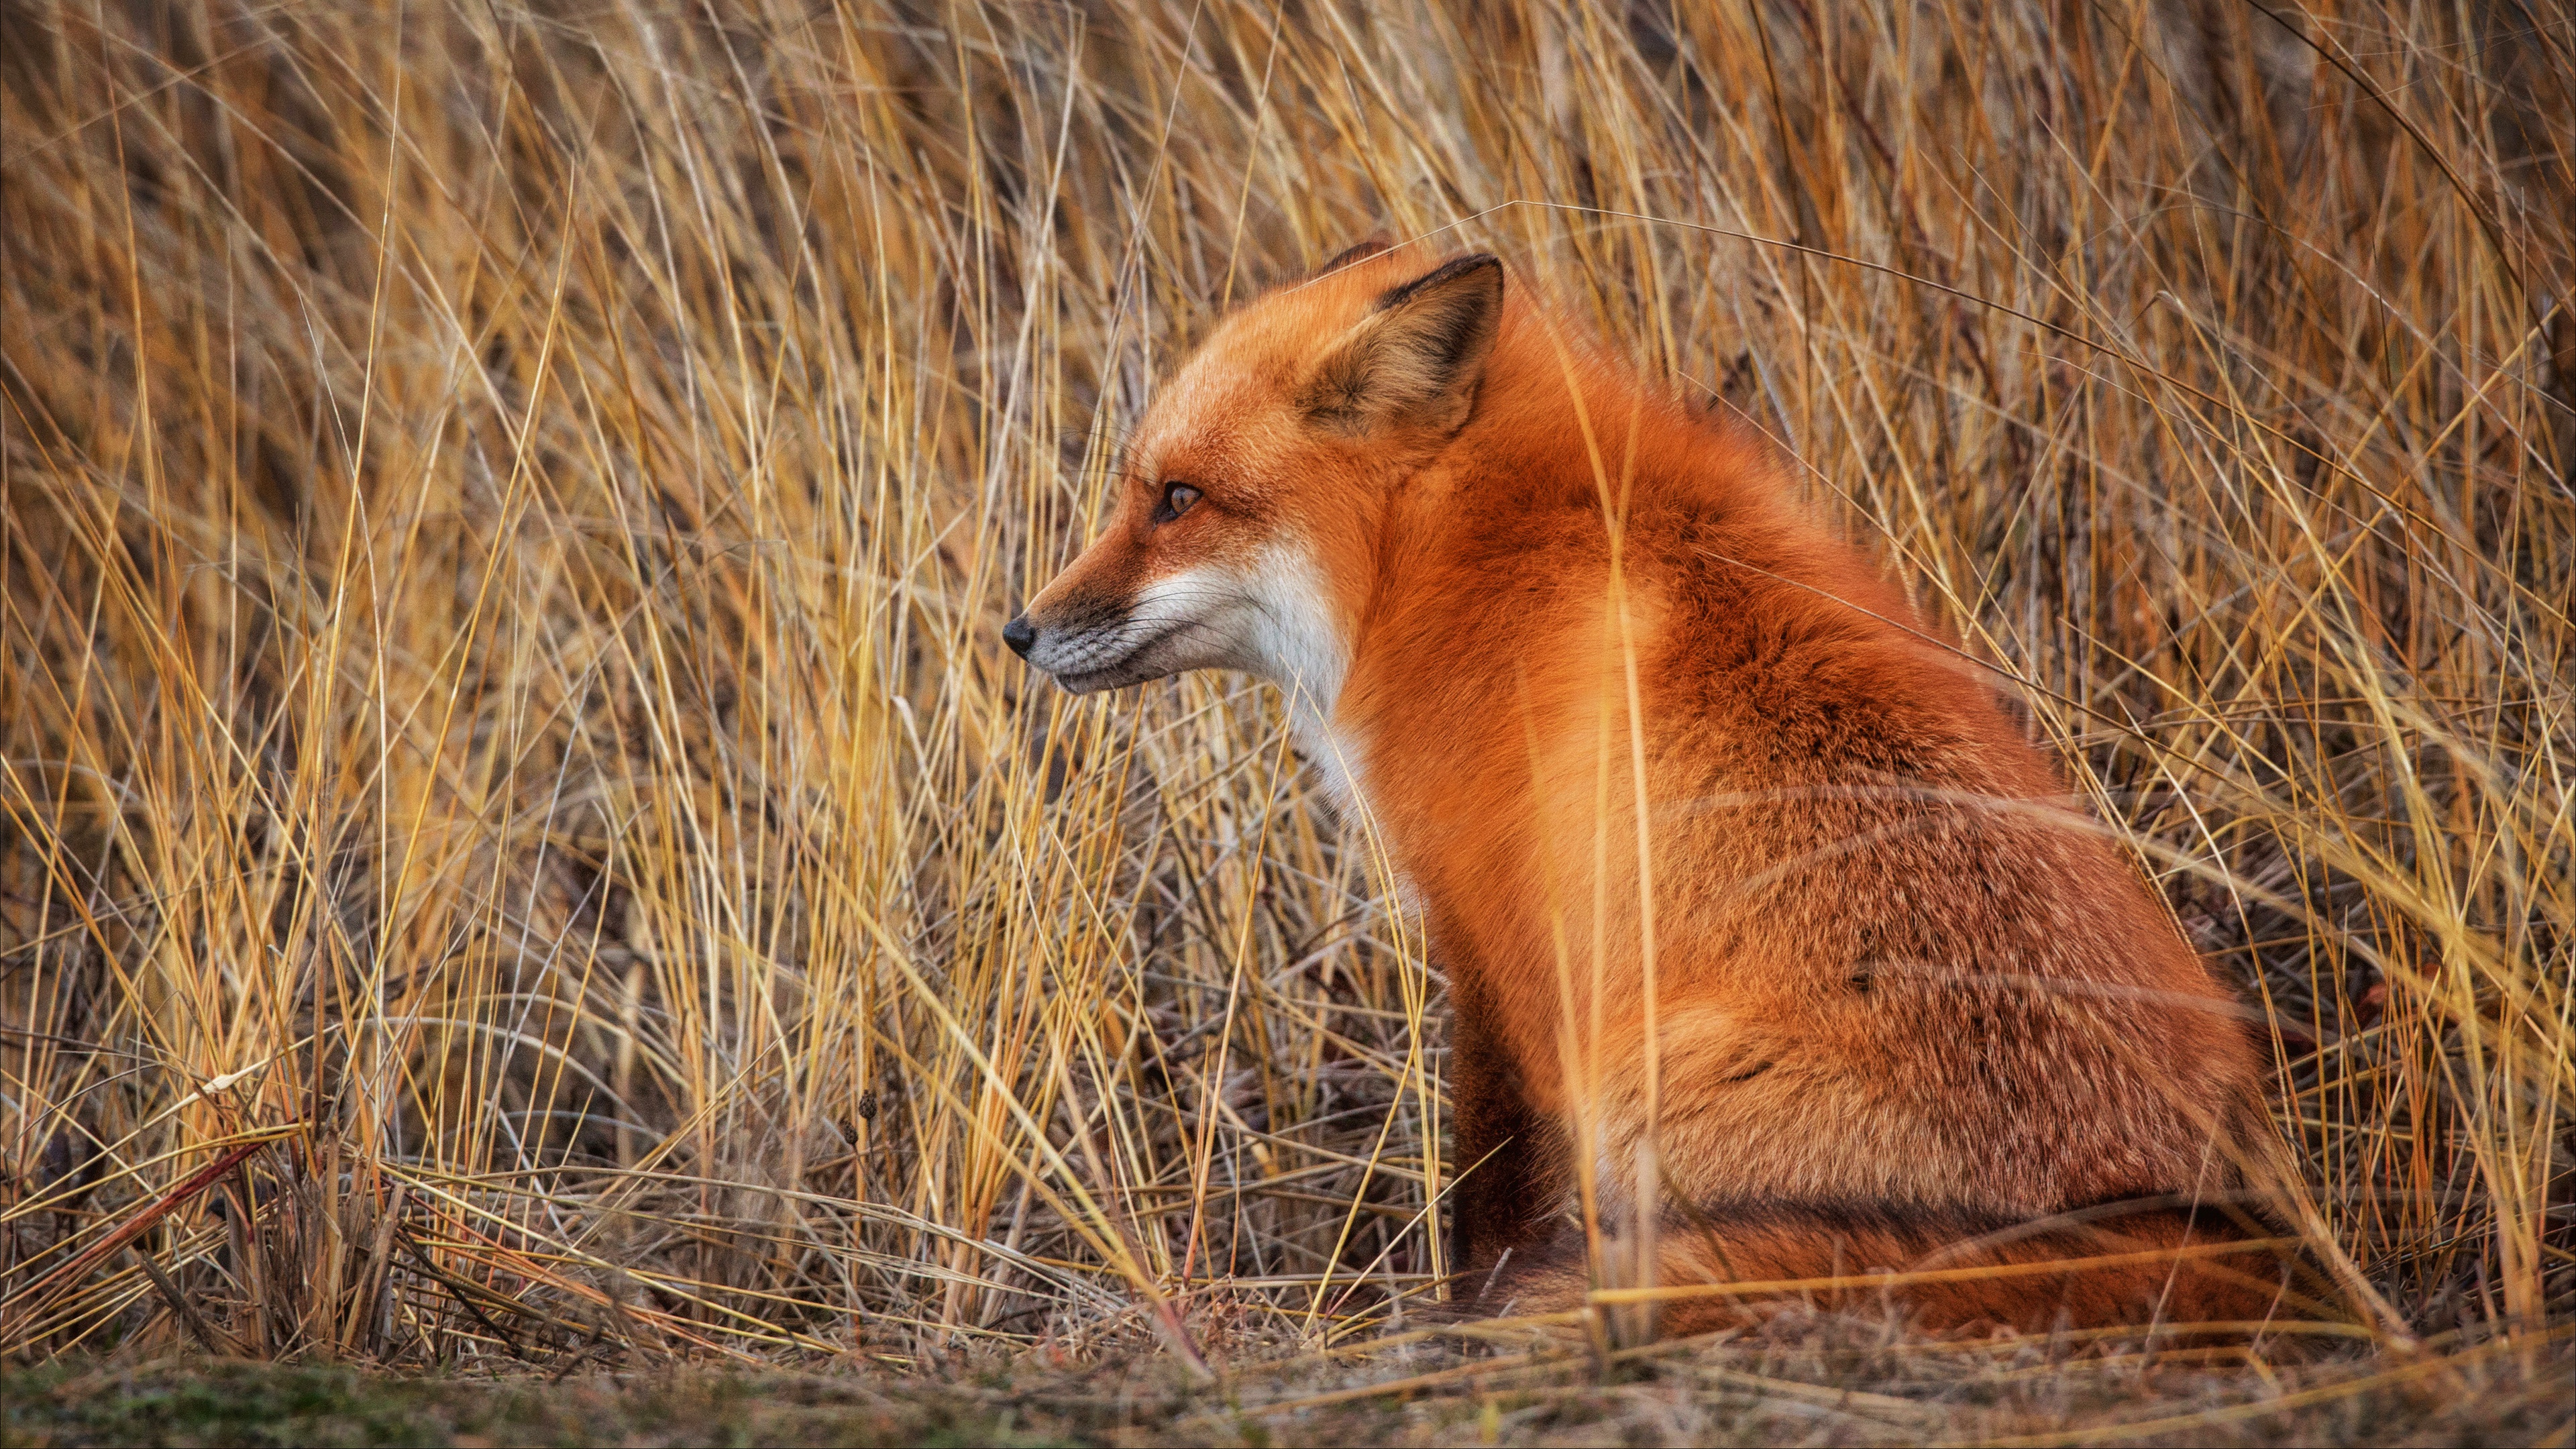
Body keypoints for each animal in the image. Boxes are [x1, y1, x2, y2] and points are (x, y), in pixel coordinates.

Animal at [1004, 237, 2298, 1330]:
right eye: (1140, 491)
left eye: (1177, 500)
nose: (1020, 632)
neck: (1449, 553)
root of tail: (2205, 1234)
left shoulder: (1500, 939)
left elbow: (1488, 1191)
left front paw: (1461, 1318)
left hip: (1645, 1083)